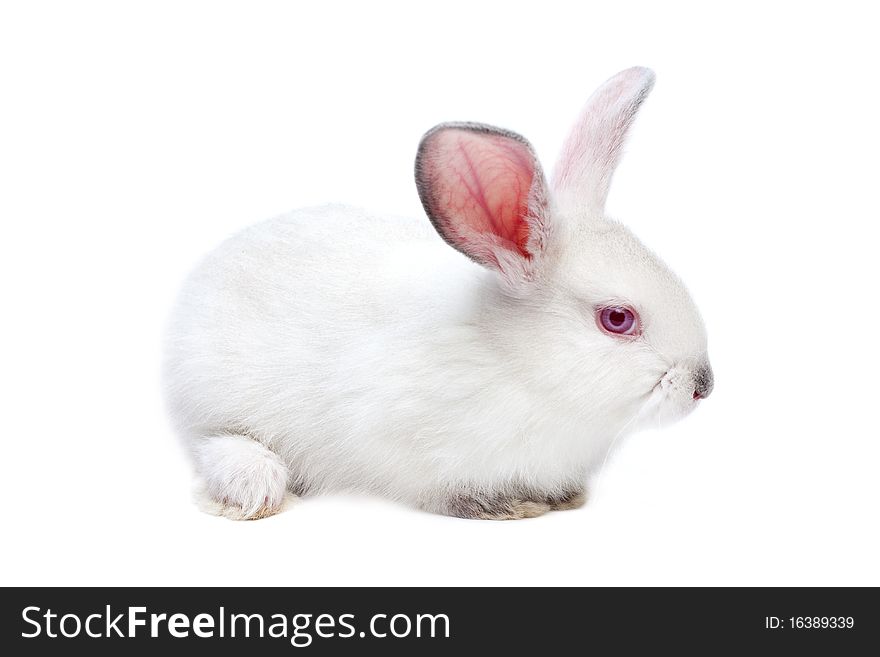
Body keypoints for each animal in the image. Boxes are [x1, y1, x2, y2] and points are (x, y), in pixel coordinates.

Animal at [165, 66, 712, 516]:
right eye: (617, 319)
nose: (703, 386)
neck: (515, 364)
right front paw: (506, 507)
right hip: (212, 397)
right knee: (215, 441)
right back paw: (253, 486)